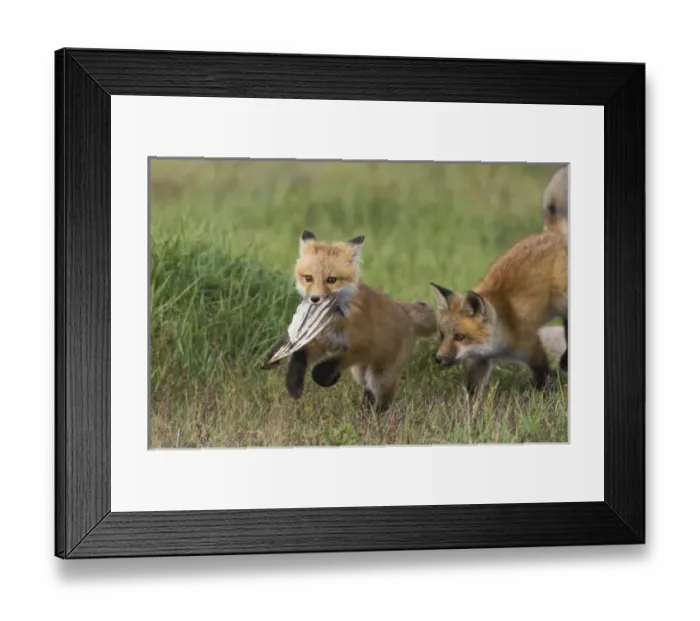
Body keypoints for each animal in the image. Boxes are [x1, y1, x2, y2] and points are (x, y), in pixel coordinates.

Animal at [264, 230, 437, 412]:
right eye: (308, 278)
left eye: (331, 280)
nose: (315, 299)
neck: (335, 322)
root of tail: (403, 310)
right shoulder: (320, 342)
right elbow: (299, 356)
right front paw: (294, 386)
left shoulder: (360, 348)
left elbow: (321, 371)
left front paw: (328, 377)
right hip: (361, 372)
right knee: (368, 393)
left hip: (380, 376)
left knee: (382, 401)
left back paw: (376, 416)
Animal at [430, 230, 568, 396]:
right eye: (442, 335)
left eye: (459, 337)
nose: (438, 358)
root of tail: (554, 233)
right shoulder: (479, 360)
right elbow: (472, 391)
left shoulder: (533, 348)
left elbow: (544, 377)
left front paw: (547, 395)